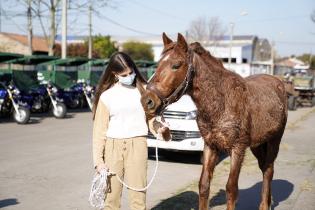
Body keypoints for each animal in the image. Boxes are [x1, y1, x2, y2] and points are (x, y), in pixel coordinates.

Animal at [141, 32, 288, 210]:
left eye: (176, 65)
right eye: (158, 64)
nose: (147, 101)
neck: (221, 103)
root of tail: (278, 83)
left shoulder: (237, 149)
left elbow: (231, 189)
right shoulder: (210, 145)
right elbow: (204, 185)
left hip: (274, 141)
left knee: (268, 170)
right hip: (258, 144)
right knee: (264, 167)